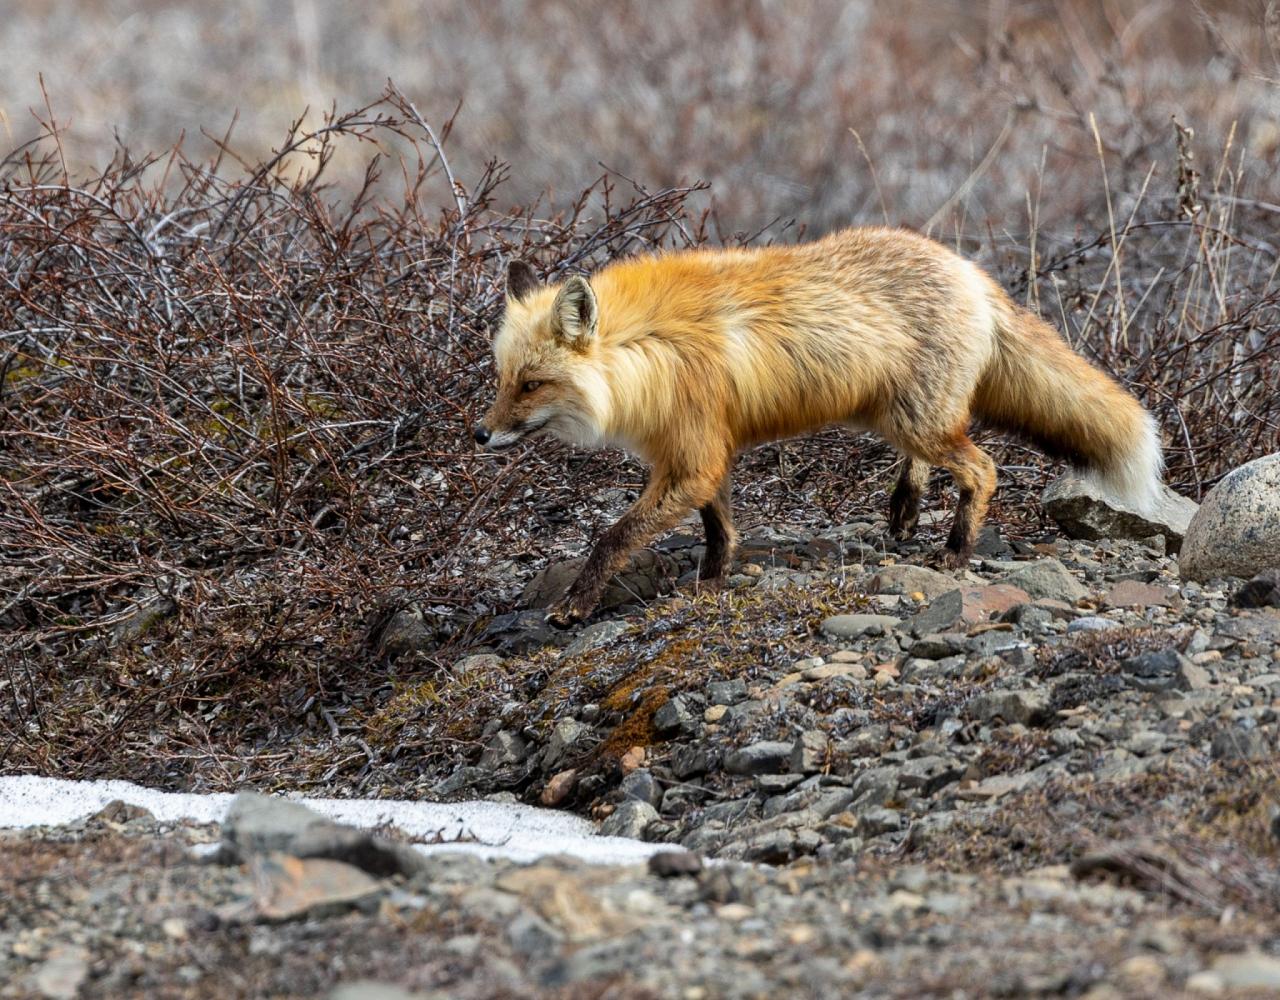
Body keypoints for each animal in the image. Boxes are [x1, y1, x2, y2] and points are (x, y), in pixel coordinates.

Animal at [476, 230, 1167, 627]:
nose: (480, 436)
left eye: (532, 385)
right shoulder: (705, 452)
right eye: (502, 378)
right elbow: (720, 528)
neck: (647, 353)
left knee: (983, 467)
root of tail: (971, 271)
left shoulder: (692, 456)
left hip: (914, 419)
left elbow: (613, 537)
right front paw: (712, 581)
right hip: (897, 417)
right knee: (939, 456)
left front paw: (576, 604)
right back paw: (905, 507)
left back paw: (956, 549)